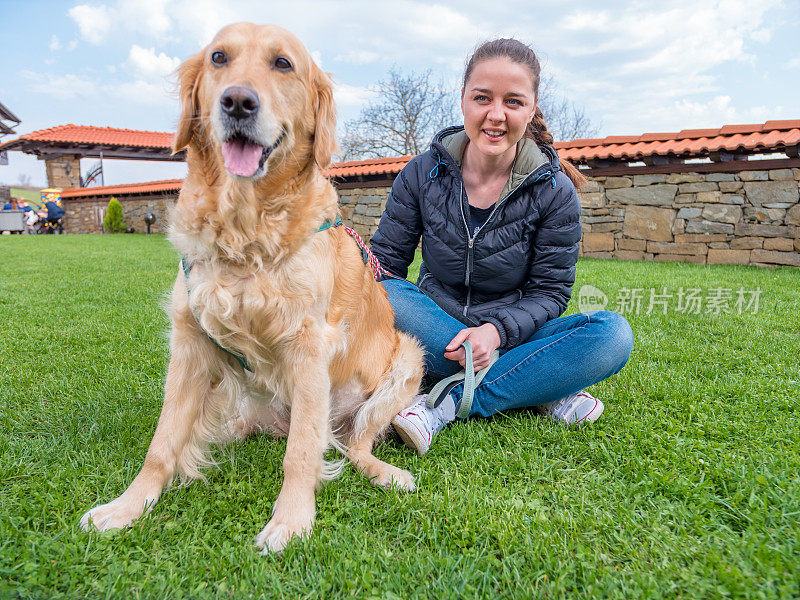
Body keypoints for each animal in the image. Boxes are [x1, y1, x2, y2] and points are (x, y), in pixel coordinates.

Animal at [81, 22, 424, 552]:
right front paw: (127, 507)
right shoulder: (190, 342)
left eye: (283, 63)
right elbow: (162, 443)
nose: (238, 102)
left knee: (354, 444)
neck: (245, 233)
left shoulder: (309, 345)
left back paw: (386, 472)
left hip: (407, 359)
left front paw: (291, 522)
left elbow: (301, 453)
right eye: (219, 57)